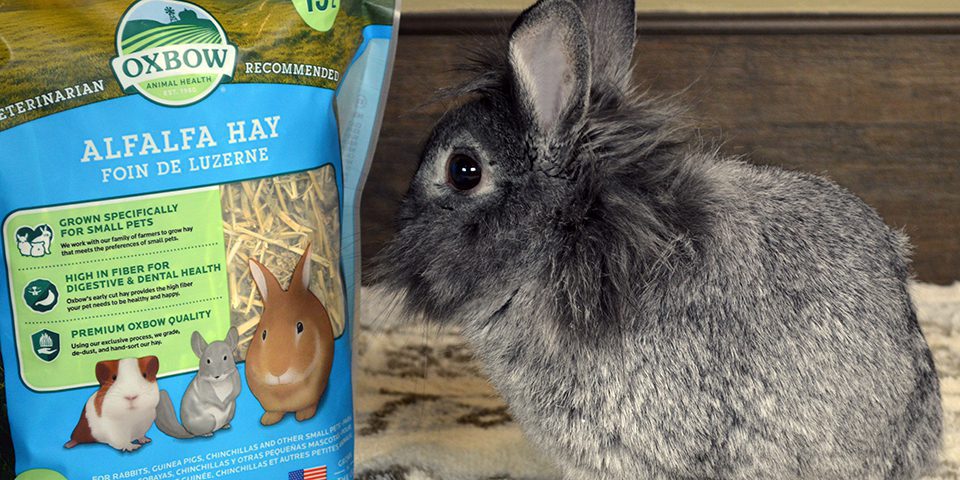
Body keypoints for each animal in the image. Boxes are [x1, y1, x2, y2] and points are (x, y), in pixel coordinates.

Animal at [246, 244, 335, 426]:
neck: (284, 387)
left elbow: (310, 405)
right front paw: (268, 420)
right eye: (263, 334)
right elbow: (275, 412)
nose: (277, 372)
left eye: (300, 327)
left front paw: (304, 416)